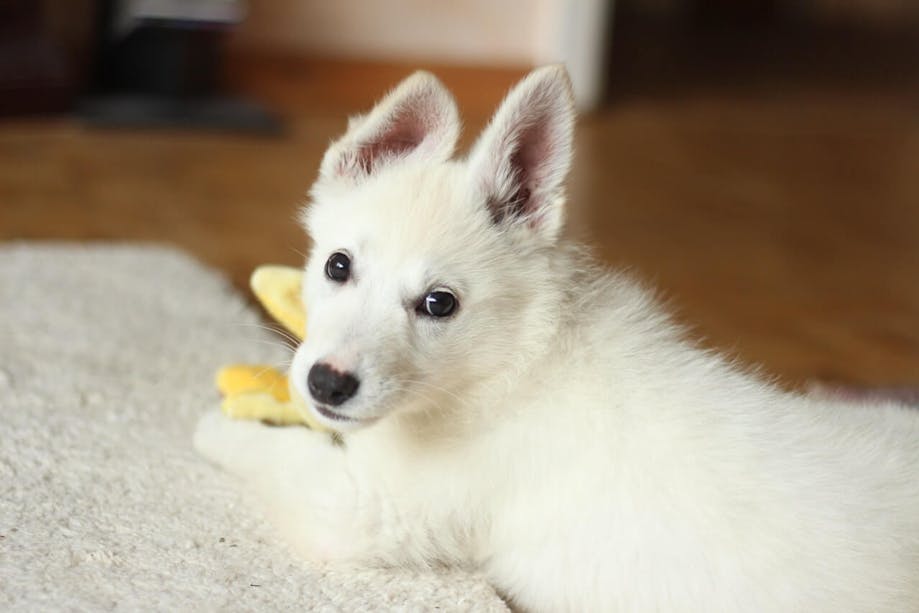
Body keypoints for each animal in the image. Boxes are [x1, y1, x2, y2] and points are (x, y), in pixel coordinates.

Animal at [196, 67, 919, 612]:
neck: (511, 353)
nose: (326, 382)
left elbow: (277, 454)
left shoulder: (366, 511)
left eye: (438, 304)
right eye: (337, 265)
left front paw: (218, 423)